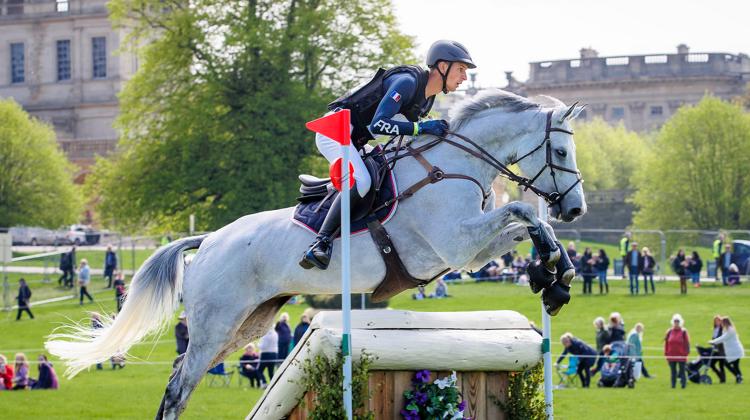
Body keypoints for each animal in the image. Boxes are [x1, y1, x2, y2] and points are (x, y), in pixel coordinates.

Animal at [45, 89, 588, 420]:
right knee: (180, 386)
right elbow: (524, 210)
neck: (454, 163)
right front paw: (552, 274)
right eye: (561, 153)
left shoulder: (470, 251)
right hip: (216, 323)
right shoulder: (457, 244)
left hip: (248, 323)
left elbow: (527, 224)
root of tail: (210, 241)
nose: (577, 208)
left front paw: (555, 277)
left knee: (183, 376)